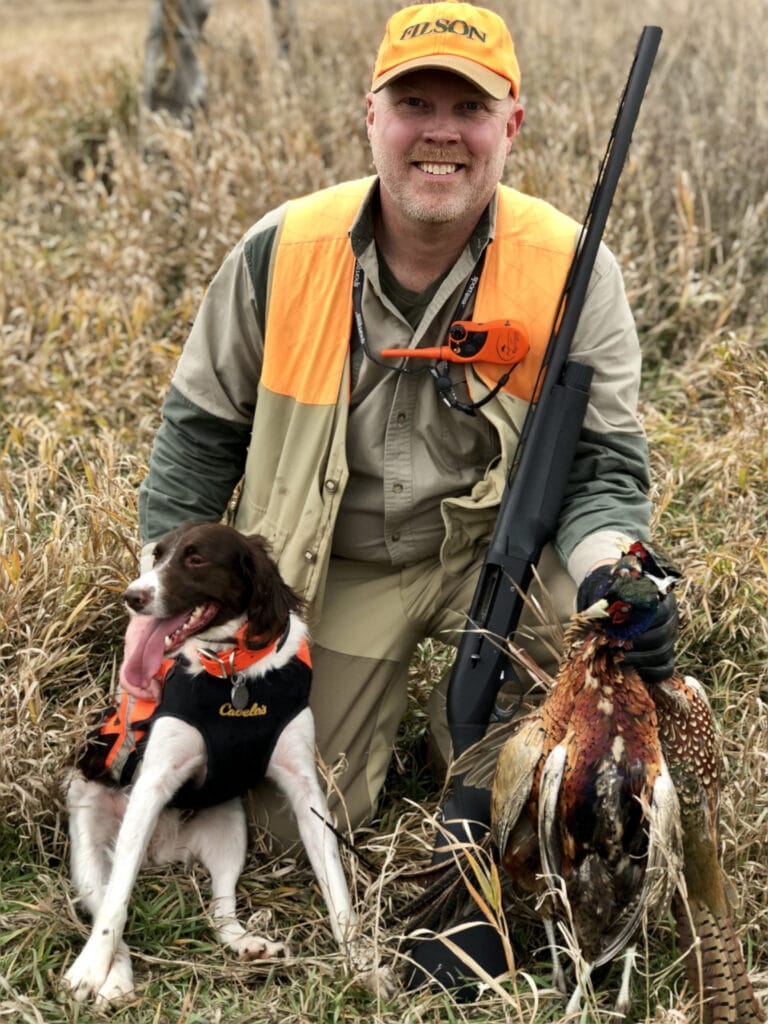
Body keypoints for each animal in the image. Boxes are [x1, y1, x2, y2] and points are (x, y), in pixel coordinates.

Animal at [63, 524, 358, 1003]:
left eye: (196, 559)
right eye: (157, 556)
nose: (132, 597)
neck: (233, 671)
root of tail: (160, 851)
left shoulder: (306, 791)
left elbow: (337, 886)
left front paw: (365, 965)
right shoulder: (151, 785)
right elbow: (116, 904)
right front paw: (92, 968)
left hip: (230, 830)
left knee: (221, 910)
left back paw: (246, 944)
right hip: (90, 848)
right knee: (108, 897)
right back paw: (116, 977)